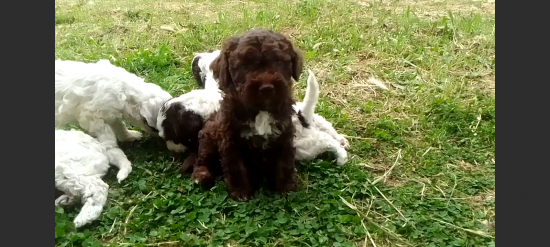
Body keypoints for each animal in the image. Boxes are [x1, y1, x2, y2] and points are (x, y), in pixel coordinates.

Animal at [193, 29, 306, 201]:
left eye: (279, 62)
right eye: (245, 65)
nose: (267, 88)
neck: (260, 110)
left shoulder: (284, 134)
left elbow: (284, 162)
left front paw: (285, 187)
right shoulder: (231, 140)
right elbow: (236, 167)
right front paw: (241, 192)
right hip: (209, 137)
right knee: (201, 159)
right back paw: (201, 175)